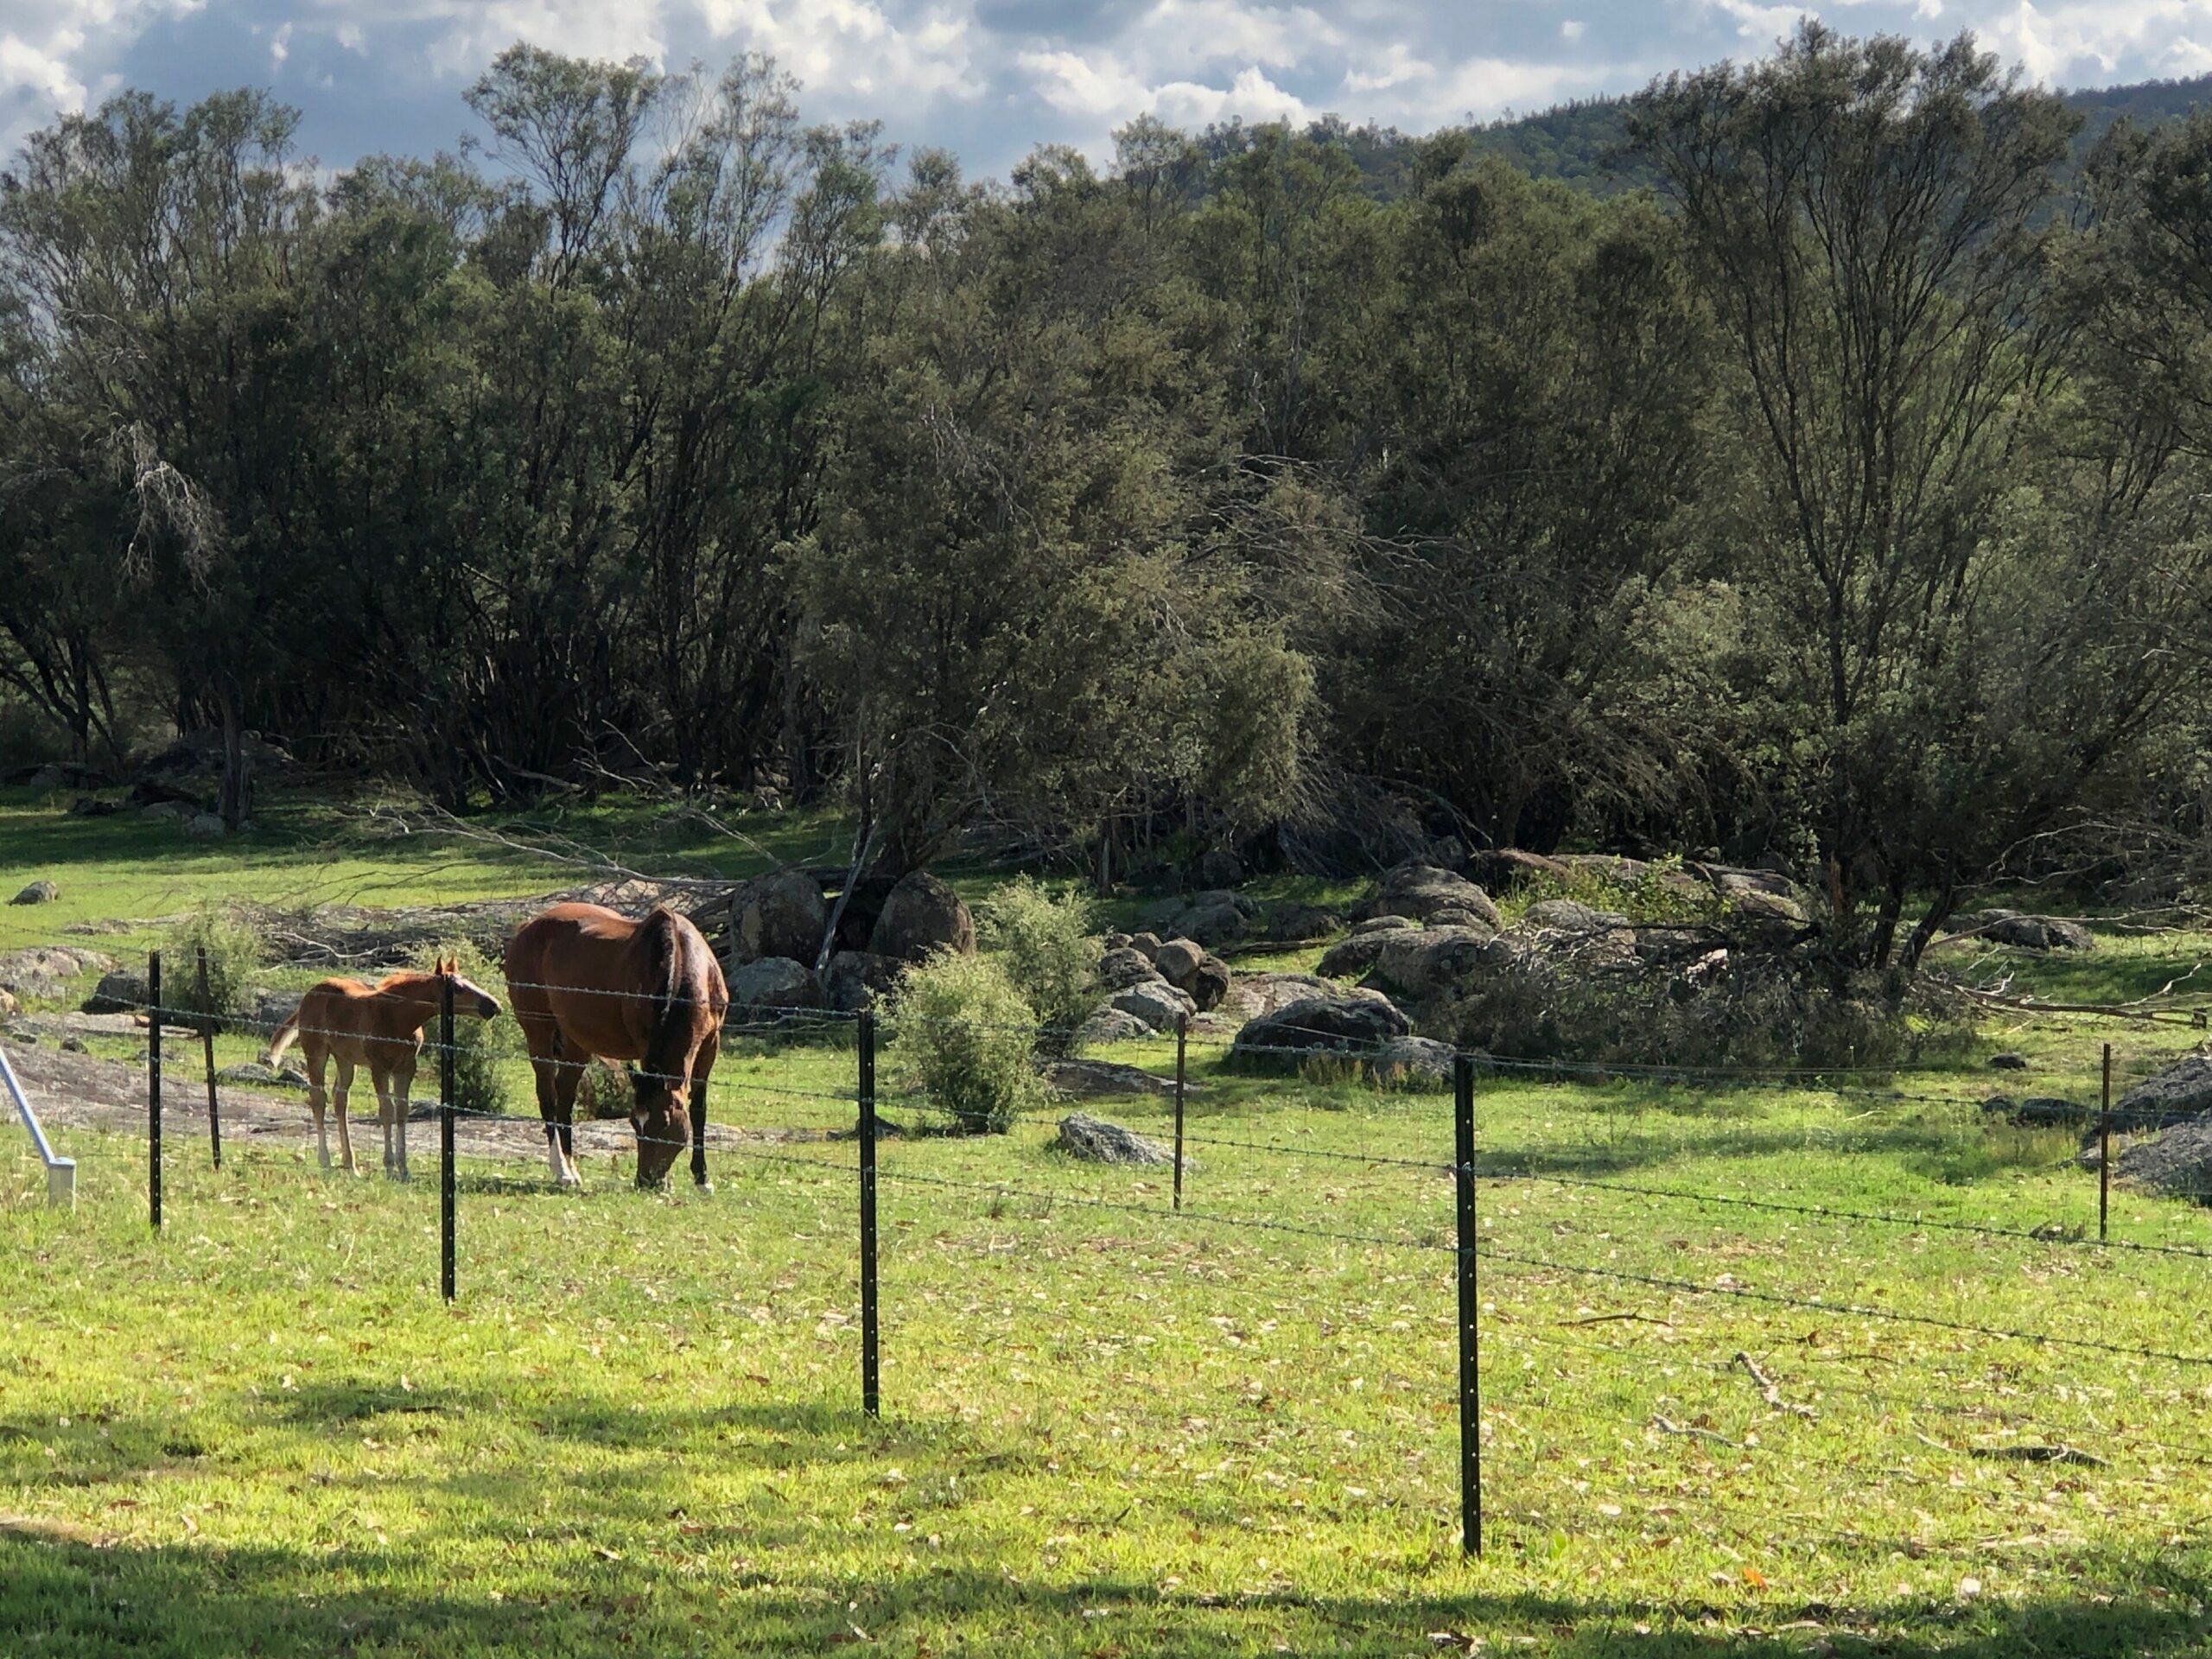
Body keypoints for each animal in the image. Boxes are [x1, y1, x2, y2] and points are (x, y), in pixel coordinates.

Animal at [262, 960, 502, 1185]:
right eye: (457, 988)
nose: (494, 1006)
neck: (398, 1018)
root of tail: (308, 996)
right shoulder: (380, 1068)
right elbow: (387, 1112)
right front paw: (389, 1167)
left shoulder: (406, 1068)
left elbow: (402, 1112)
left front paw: (404, 1169)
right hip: (316, 1052)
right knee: (319, 1099)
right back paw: (326, 1161)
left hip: (345, 1059)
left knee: (340, 1100)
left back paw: (351, 1165)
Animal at [502, 911, 725, 1194]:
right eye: (634, 1123)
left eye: (664, 1124)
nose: (645, 1181)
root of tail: (527, 927)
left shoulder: (710, 1044)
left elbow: (699, 1110)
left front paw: (702, 1179)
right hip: (539, 1034)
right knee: (548, 1097)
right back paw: (562, 1171)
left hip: (576, 1042)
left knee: (565, 1097)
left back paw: (572, 1169)